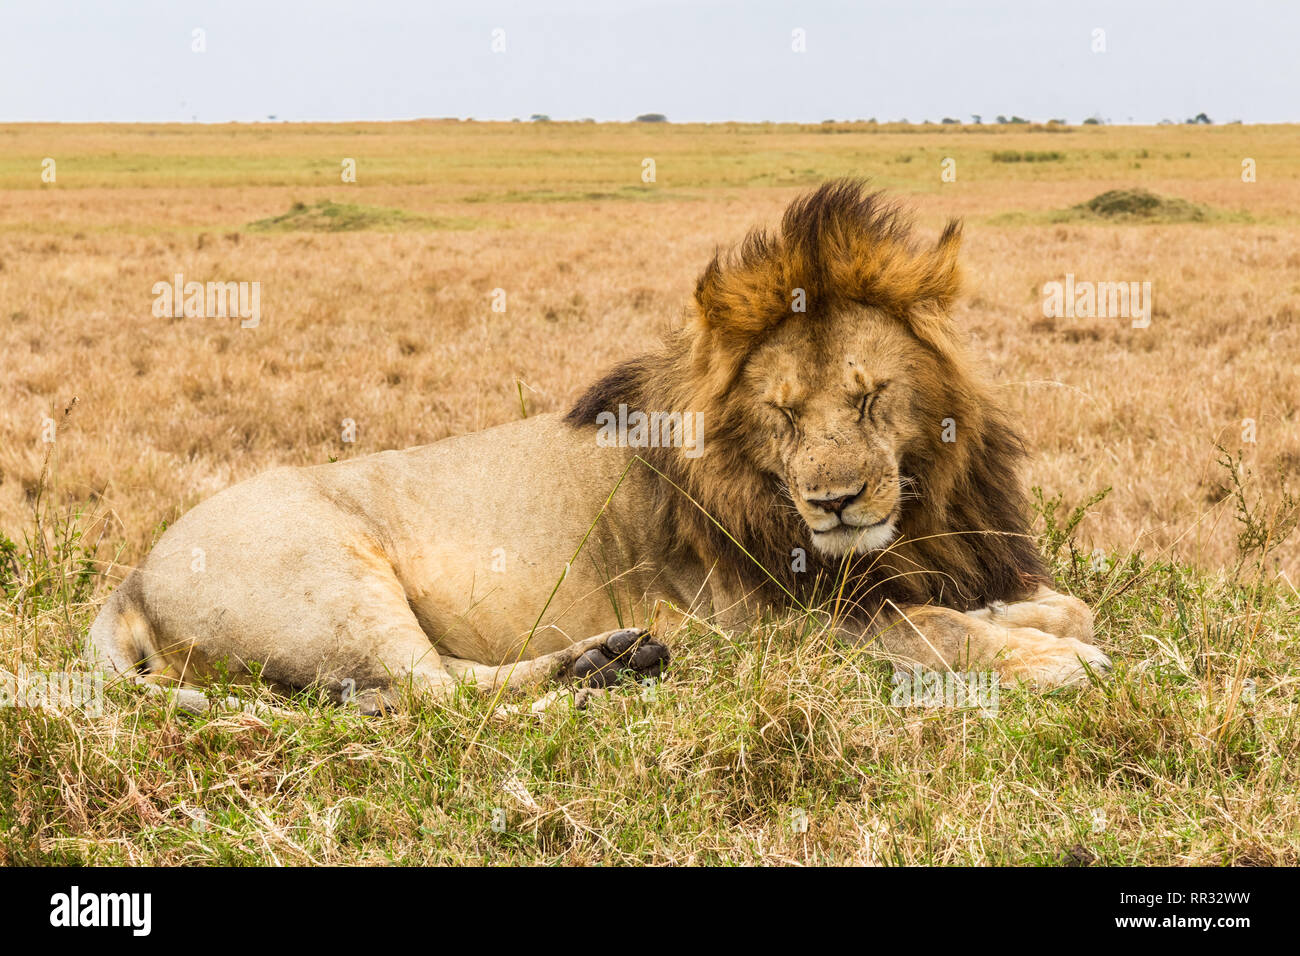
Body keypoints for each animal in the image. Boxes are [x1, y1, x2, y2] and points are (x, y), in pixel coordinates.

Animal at [89, 180, 1107, 717]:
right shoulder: (766, 627)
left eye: (868, 397)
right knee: (434, 699)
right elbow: (928, 630)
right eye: (781, 413)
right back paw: (591, 687)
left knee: (436, 683)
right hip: (331, 577)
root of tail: (129, 581)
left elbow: (1054, 605)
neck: (915, 512)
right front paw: (1051, 662)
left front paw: (1044, 622)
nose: (834, 503)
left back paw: (610, 662)